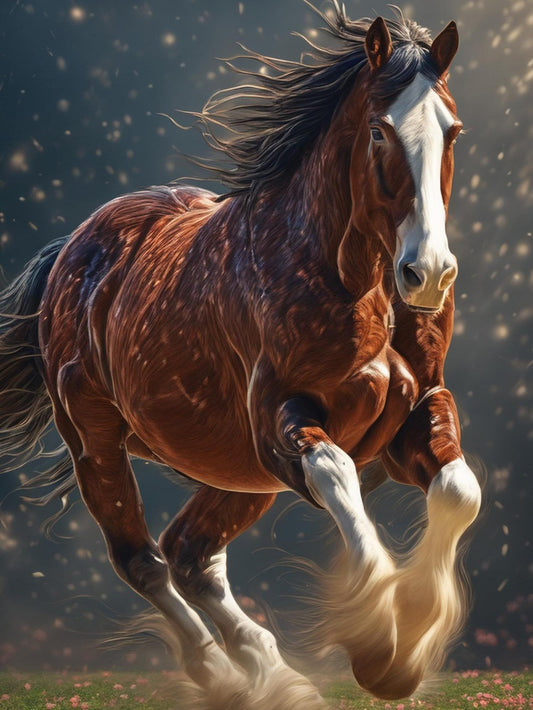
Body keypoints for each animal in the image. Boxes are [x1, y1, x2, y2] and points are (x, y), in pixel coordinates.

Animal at [0, 4, 481, 708]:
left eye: (452, 130)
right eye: (378, 130)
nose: (428, 274)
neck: (349, 276)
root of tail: (72, 249)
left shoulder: (417, 407)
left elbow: (458, 491)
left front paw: (406, 645)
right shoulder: (279, 421)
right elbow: (338, 474)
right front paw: (377, 639)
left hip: (235, 473)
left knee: (191, 553)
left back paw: (276, 673)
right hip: (96, 441)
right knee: (143, 558)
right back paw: (224, 674)